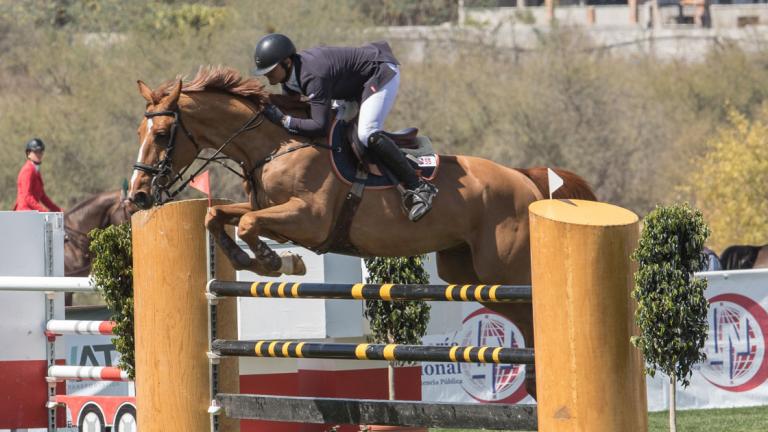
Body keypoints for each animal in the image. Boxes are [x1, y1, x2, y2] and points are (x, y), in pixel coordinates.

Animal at [126, 66, 592, 396]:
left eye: (163, 134)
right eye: (140, 131)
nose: (138, 197)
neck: (275, 144)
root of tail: (525, 178)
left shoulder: (308, 219)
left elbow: (247, 222)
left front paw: (277, 261)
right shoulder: (268, 207)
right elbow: (219, 216)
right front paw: (253, 259)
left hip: (505, 270)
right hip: (468, 272)